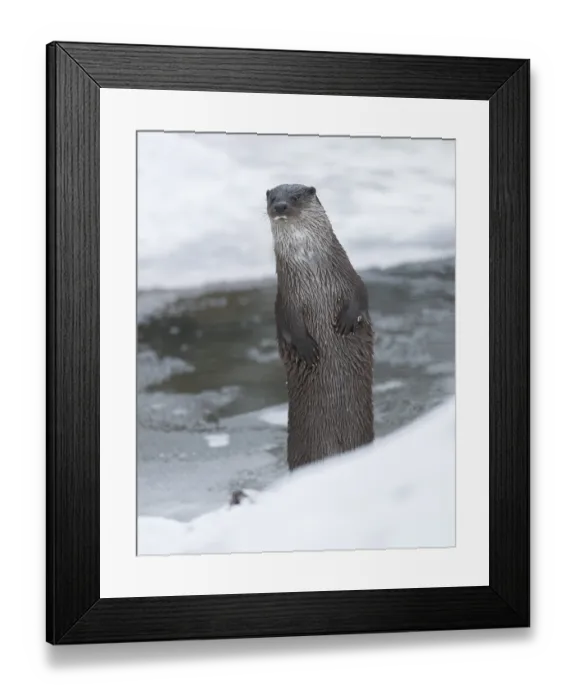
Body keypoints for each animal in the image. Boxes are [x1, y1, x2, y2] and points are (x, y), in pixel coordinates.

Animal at [266, 183, 374, 470]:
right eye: (272, 197)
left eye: (295, 196)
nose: (279, 206)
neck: (312, 269)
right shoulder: (287, 300)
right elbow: (289, 325)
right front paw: (306, 349)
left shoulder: (350, 277)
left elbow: (361, 296)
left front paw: (347, 321)